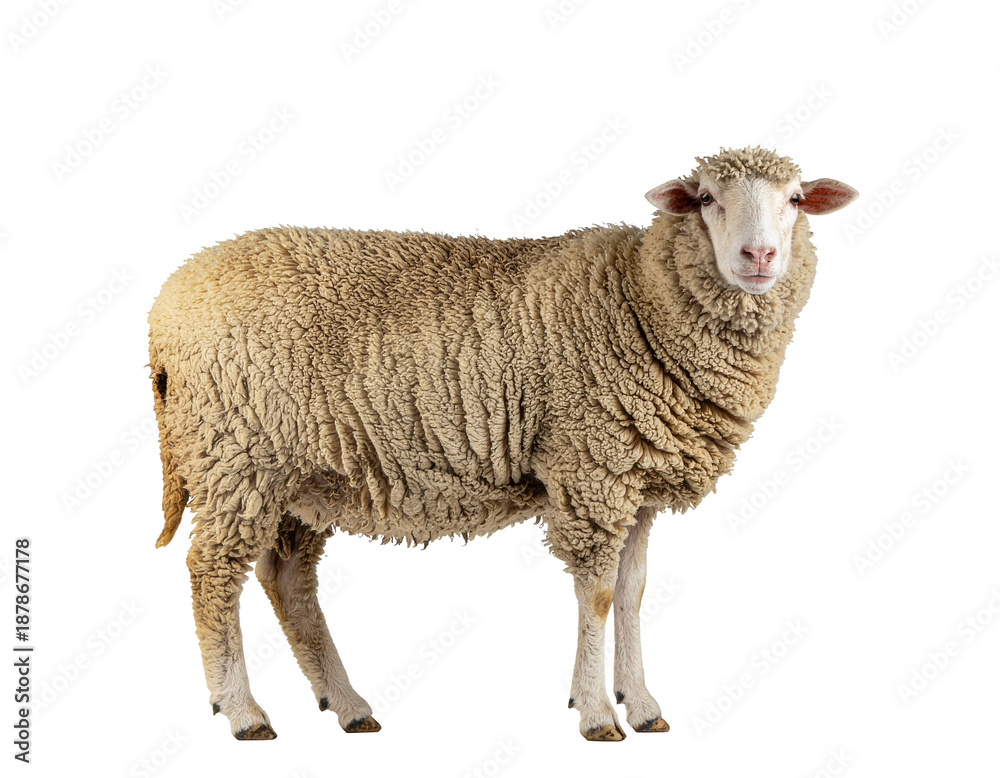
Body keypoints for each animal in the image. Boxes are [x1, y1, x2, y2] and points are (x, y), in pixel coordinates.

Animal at [148, 146, 857, 741]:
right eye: (707, 197)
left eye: (795, 198)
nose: (759, 256)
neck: (638, 301)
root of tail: (167, 308)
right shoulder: (590, 468)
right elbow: (598, 595)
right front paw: (596, 714)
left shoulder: (636, 484)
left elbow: (632, 593)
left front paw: (643, 704)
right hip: (237, 455)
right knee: (212, 575)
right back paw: (243, 711)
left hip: (301, 474)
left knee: (288, 582)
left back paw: (347, 705)